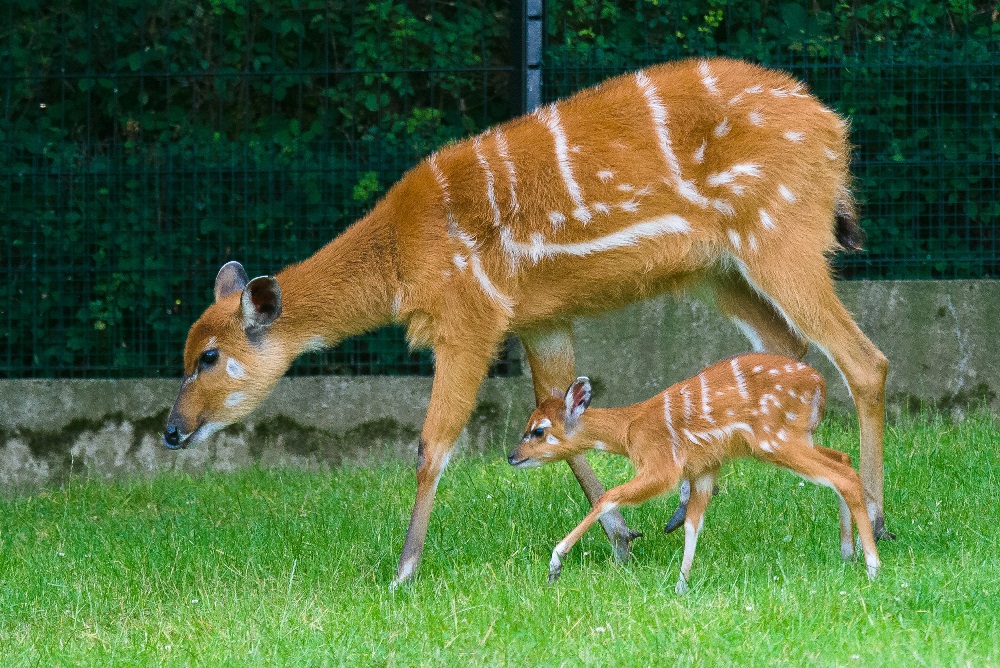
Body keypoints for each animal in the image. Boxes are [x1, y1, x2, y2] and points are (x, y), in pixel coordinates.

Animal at [512, 352, 880, 592]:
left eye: (539, 430)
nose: (512, 456)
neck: (629, 431)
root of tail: (820, 385)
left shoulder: (663, 465)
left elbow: (609, 496)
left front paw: (555, 565)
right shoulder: (704, 468)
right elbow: (692, 522)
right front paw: (681, 585)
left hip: (775, 439)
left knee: (843, 476)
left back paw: (872, 566)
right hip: (798, 437)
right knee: (844, 459)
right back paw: (848, 553)